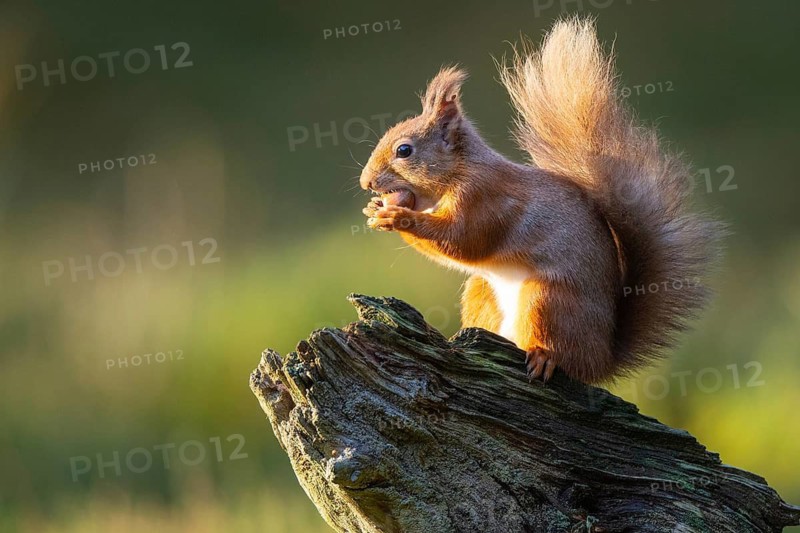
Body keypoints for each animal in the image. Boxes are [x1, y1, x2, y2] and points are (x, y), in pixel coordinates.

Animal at [359, 17, 725, 384]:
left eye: (404, 150)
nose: (366, 182)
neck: (461, 171)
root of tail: (603, 359)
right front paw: (375, 209)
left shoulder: (485, 197)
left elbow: (463, 241)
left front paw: (396, 217)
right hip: (482, 291)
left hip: (547, 300)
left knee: (566, 356)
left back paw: (544, 357)